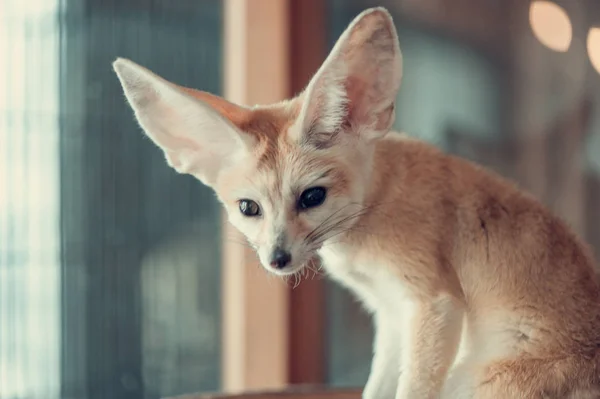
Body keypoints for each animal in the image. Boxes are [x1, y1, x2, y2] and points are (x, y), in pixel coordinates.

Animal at [112, 6, 600, 399]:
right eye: (249, 208)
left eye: (312, 196)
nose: (277, 259)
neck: (377, 207)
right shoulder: (391, 316)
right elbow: (377, 389)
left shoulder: (433, 302)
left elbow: (412, 390)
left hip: (471, 379)